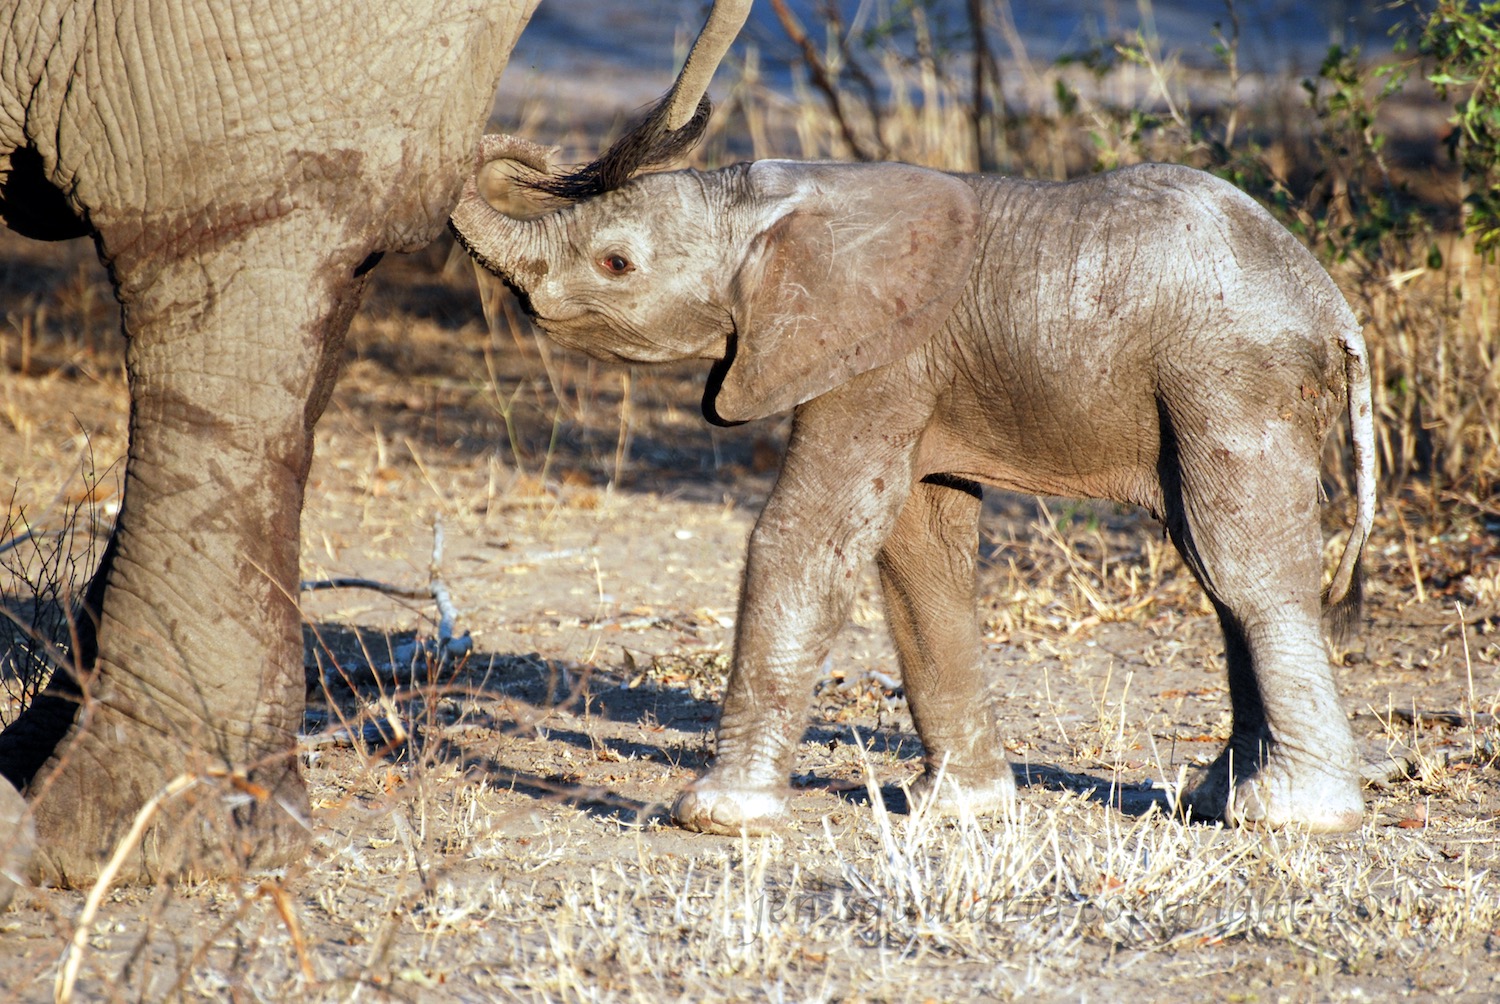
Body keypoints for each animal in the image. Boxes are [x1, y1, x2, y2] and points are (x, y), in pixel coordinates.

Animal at [450, 137, 1374, 834]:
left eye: (616, 263)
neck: (775, 198)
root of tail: (1337, 312)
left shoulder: (880, 356)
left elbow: (810, 535)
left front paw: (717, 819)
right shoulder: (916, 371)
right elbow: (917, 550)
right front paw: (956, 811)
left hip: (1230, 379)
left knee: (1242, 569)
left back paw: (1291, 816)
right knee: (1216, 570)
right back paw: (1218, 800)